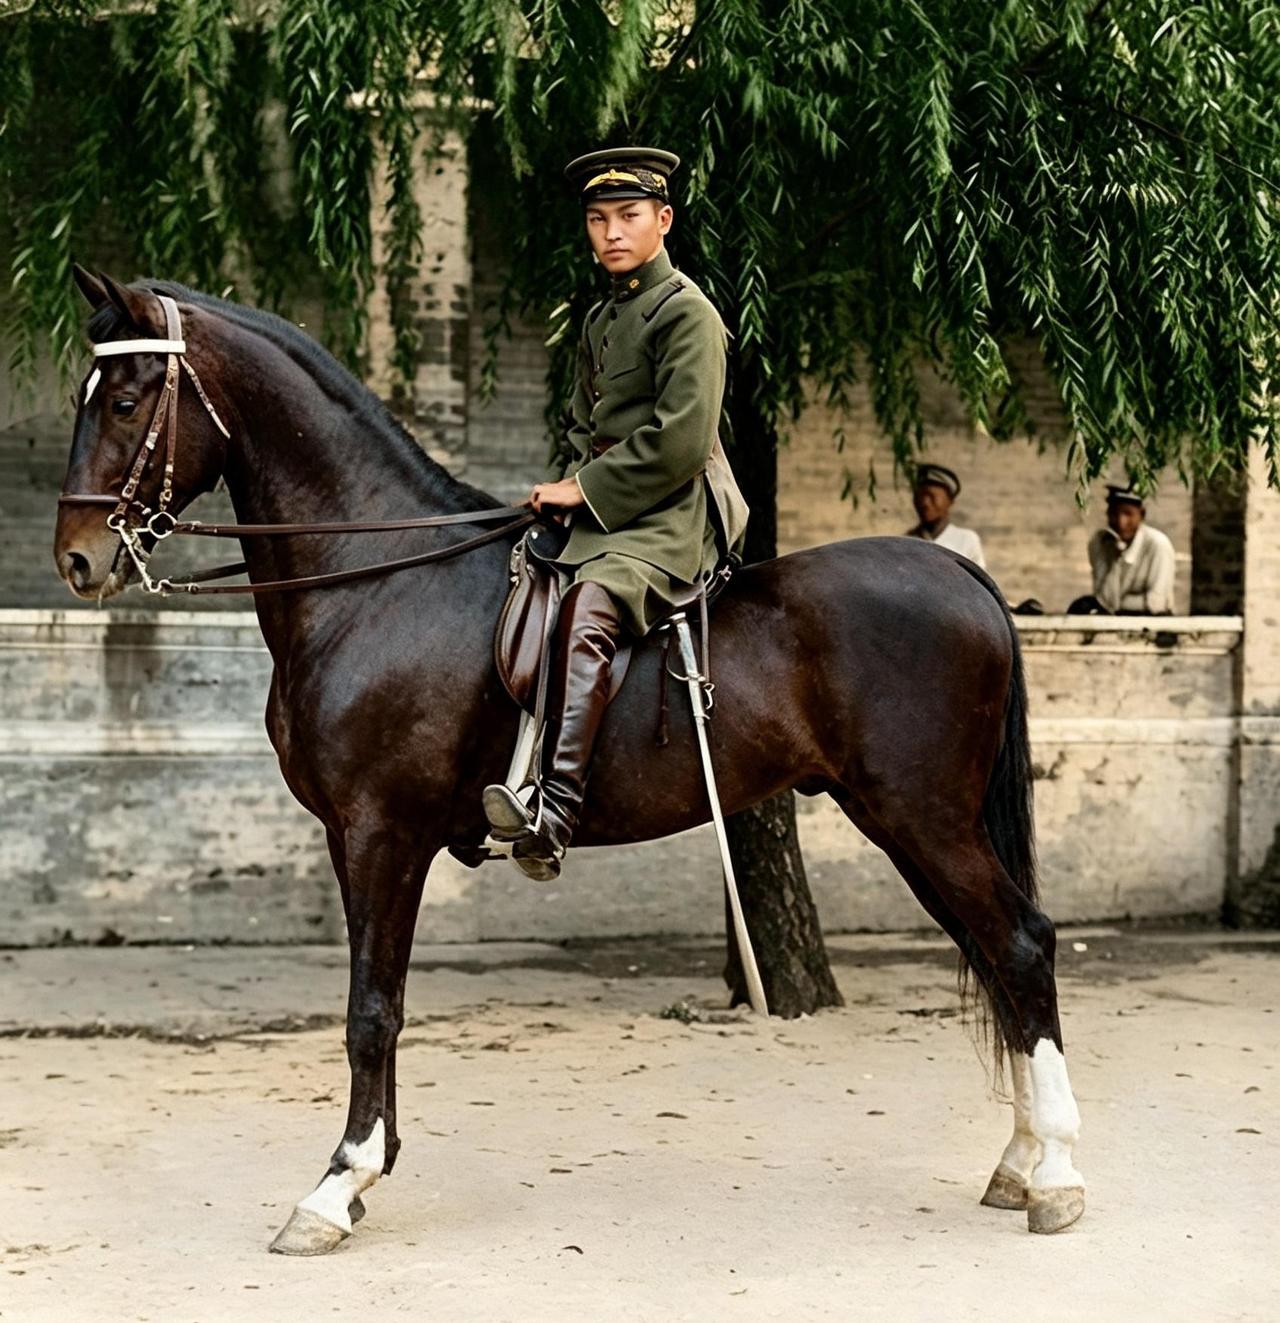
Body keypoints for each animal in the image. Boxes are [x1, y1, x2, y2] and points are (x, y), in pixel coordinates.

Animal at [53, 269, 1085, 1254]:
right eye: (84, 393)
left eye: (127, 400)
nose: (77, 558)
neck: (377, 579)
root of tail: (962, 574)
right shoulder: (357, 840)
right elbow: (377, 1003)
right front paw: (364, 1169)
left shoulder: (383, 833)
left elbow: (371, 1009)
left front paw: (338, 1184)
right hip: (908, 826)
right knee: (996, 955)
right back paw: (1019, 1161)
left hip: (924, 818)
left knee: (1022, 945)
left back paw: (1058, 1177)